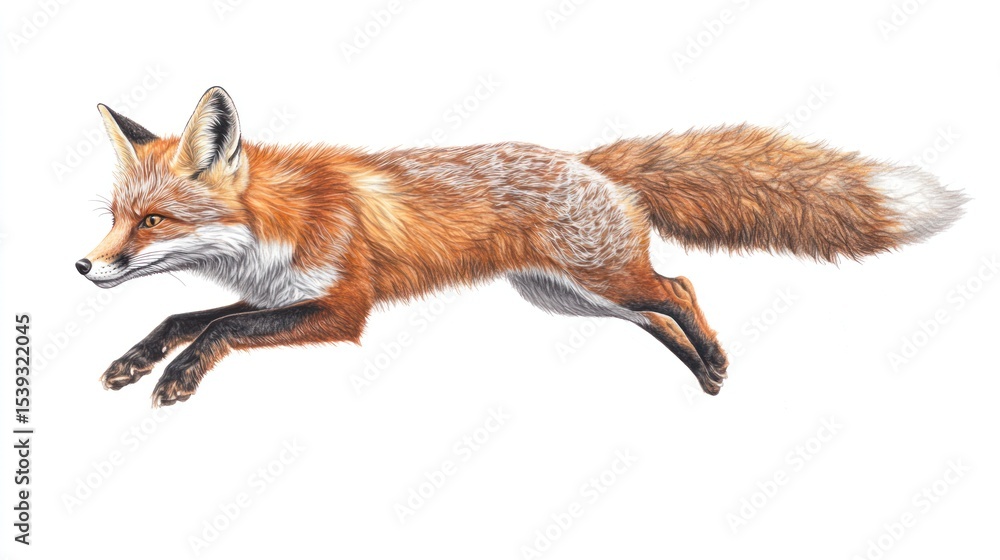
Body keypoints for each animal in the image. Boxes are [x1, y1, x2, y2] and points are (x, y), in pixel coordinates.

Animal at [78, 87, 966, 406]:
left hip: (603, 281)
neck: (277, 222)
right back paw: (701, 374)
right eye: (118, 216)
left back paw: (712, 361)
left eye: (153, 221)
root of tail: (587, 159)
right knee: (659, 314)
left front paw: (178, 379)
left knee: (677, 289)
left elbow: (224, 328)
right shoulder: (291, 296)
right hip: (571, 298)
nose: (86, 265)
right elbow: (186, 319)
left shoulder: (342, 307)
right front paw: (135, 361)